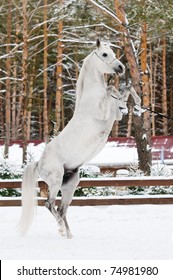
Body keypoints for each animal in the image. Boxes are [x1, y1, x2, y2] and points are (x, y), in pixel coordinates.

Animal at [19, 38, 139, 237]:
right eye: (105, 54)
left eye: (113, 52)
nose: (121, 68)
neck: (92, 96)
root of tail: (39, 163)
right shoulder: (104, 113)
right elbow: (111, 88)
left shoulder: (115, 116)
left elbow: (123, 93)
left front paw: (136, 105)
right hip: (55, 181)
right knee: (49, 204)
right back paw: (61, 230)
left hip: (70, 184)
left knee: (61, 209)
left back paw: (69, 235)